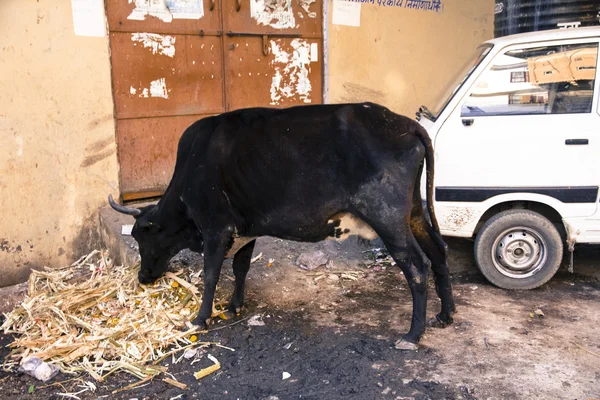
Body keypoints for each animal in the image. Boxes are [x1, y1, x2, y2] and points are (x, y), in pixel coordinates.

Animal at [109, 103, 454, 350]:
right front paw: (234, 307)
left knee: (417, 267)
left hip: (388, 219)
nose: (142, 278)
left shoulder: (216, 228)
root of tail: (403, 123)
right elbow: (240, 268)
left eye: (141, 237)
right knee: (438, 253)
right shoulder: (245, 230)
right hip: (413, 214)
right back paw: (445, 314)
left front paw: (201, 319)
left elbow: (210, 275)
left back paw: (412, 335)